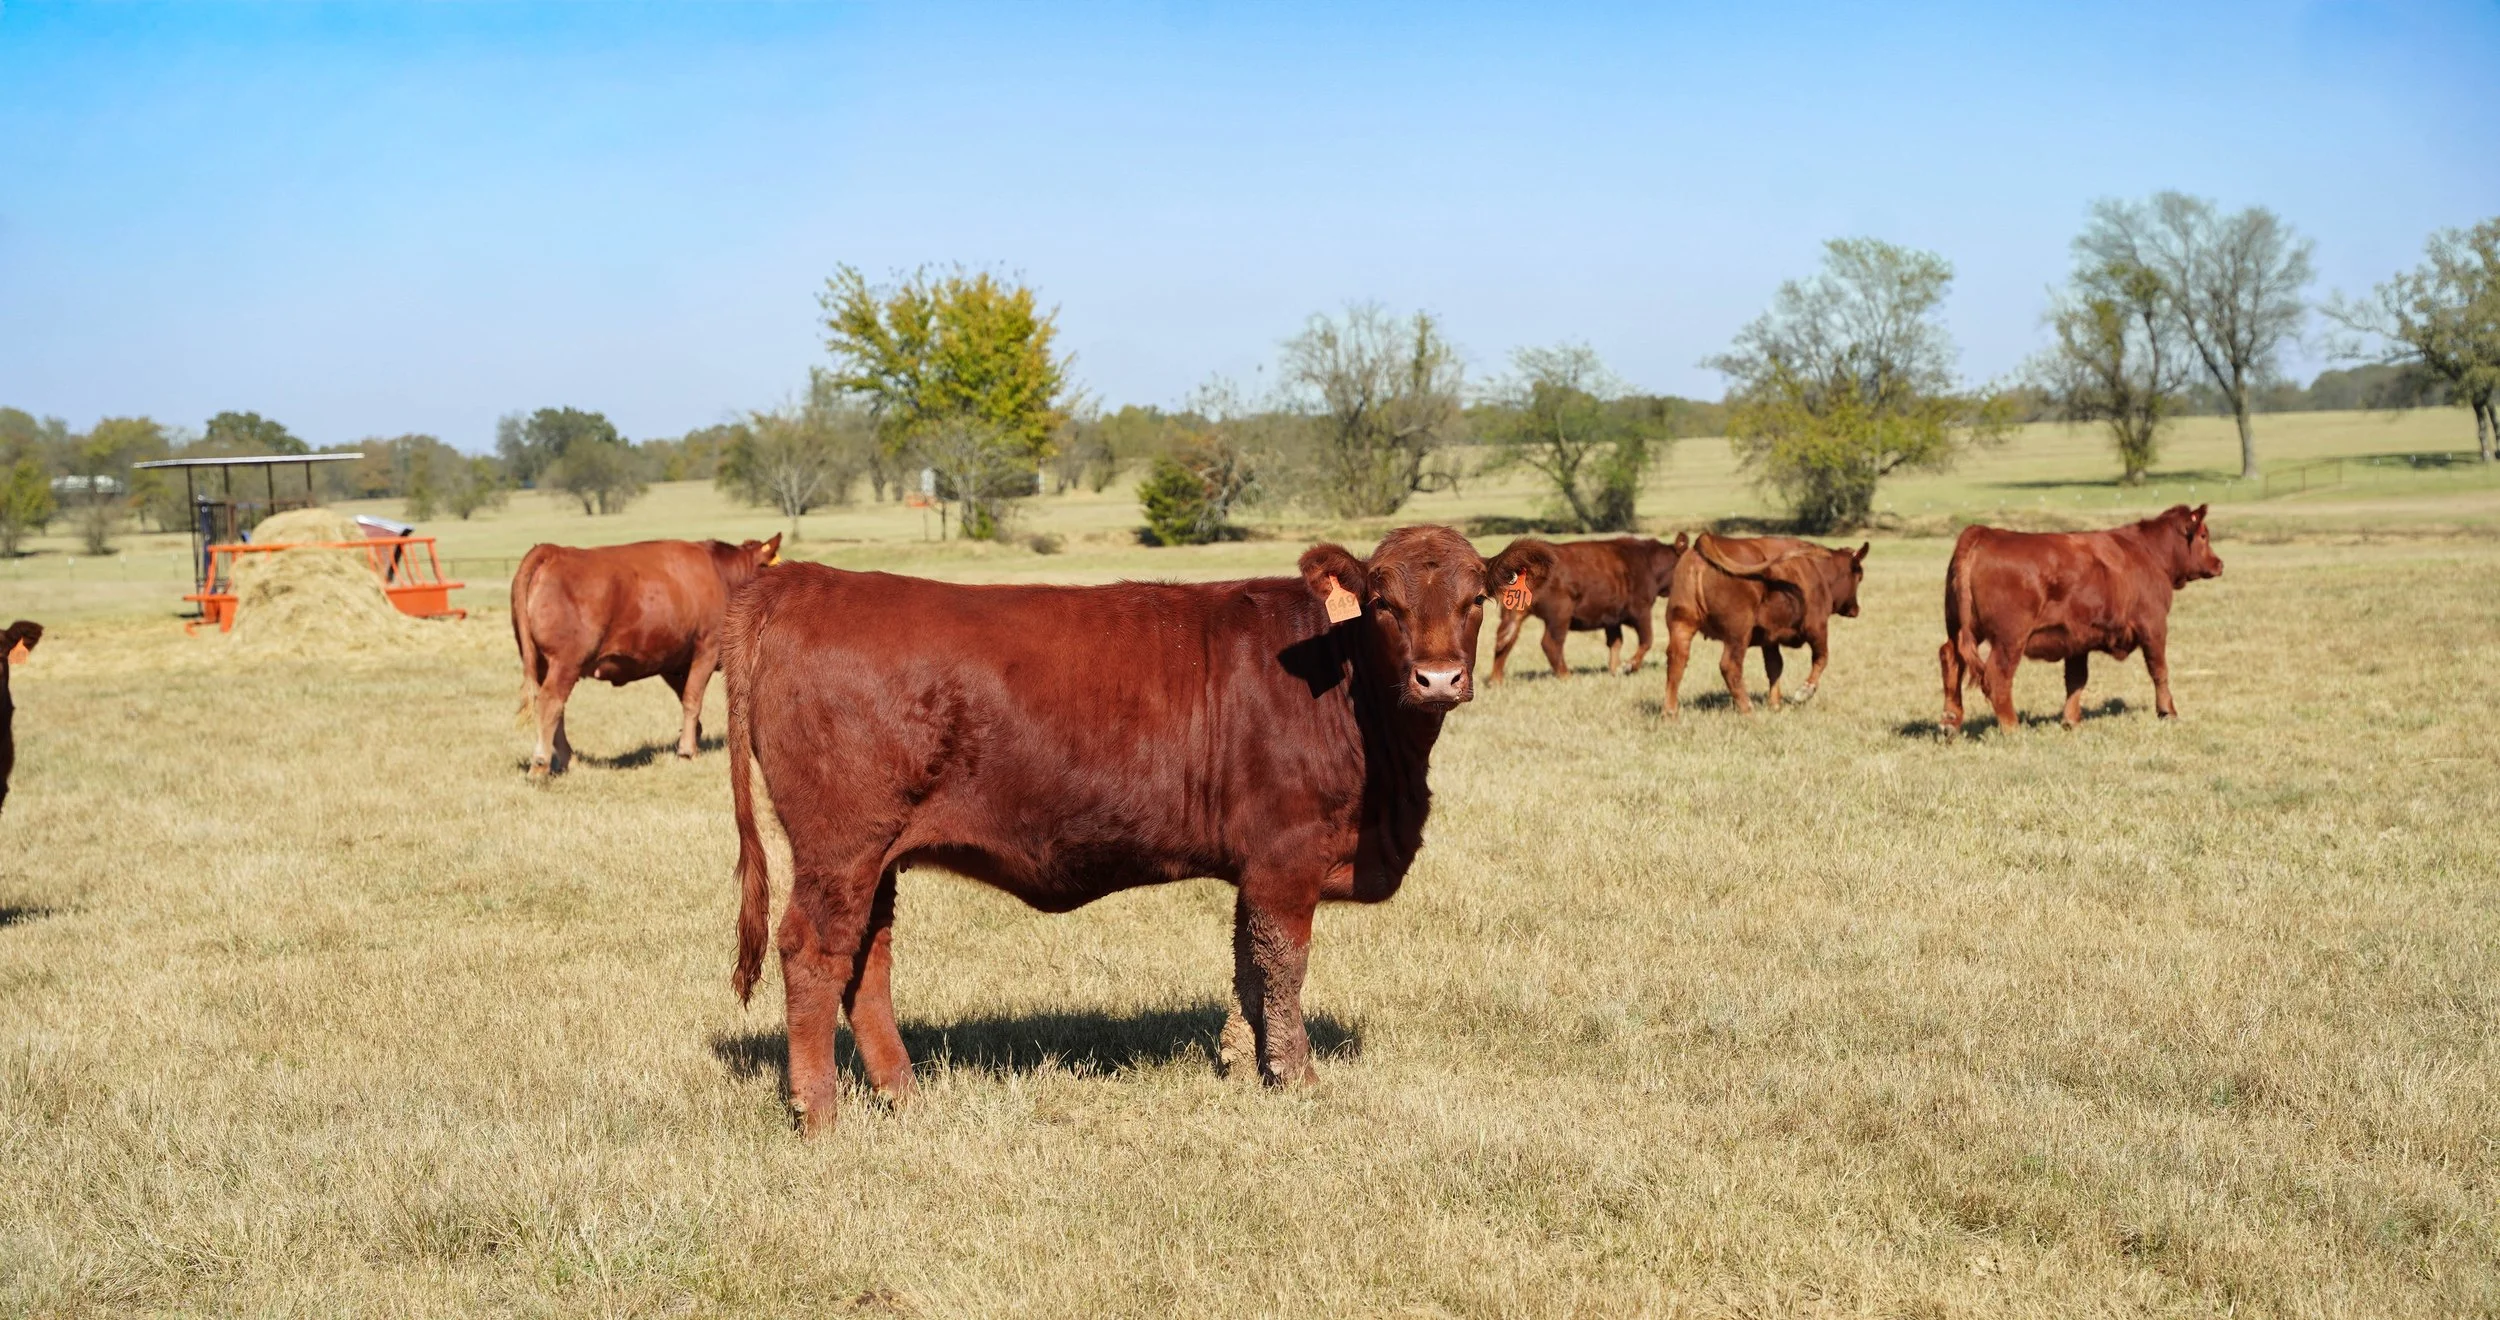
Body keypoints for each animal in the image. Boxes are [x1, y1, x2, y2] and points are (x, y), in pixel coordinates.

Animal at [511, 536, 779, 776]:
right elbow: (693, 700)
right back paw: (541, 764)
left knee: (557, 709)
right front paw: (687, 751)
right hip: (566, 662)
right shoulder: (708, 649)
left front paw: (692, 738)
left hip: (543, 663)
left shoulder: (674, 661)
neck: (722, 574)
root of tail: (553, 551)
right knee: (550, 703)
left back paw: (571, 761)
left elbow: (685, 698)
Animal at [723, 525, 1554, 1134]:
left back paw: (905, 1094)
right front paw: (1296, 1075)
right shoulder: (1287, 857)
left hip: (877, 856)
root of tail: (804, 582)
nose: (1438, 678)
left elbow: (1246, 964)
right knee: (814, 954)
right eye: (1383, 603)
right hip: (841, 846)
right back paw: (819, 1113)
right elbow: (1284, 966)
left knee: (868, 961)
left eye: (1477, 597)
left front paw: (1237, 1060)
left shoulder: (1254, 867)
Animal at [1486, 534, 1688, 682]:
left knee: (1505, 640)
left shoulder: (1612, 618)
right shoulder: (1641, 610)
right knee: (1551, 643)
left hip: (1514, 613)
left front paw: (1614, 670)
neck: (1648, 563)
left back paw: (1496, 680)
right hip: (1560, 614)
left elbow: (1615, 643)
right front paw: (1629, 666)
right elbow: (1647, 640)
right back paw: (1566, 676)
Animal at [1663, 534, 1868, 716]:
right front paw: (1805, 691)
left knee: (1677, 661)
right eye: (1859, 577)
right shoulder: (1817, 626)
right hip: (1738, 632)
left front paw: (1775, 704)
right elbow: (1821, 658)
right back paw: (1747, 709)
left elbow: (1775, 666)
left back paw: (1670, 713)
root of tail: (1707, 541)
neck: (1818, 570)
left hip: (1681, 623)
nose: (1856, 609)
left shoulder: (1769, 638)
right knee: (1729, 666)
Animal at [1940, 504, 2222, 732]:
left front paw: (2071, 721)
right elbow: (2159, 670)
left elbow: (2076, 679)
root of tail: (1983, 533)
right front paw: (2168, 712)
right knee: (1997, 676)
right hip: (2009, 639)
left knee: (1951, 659)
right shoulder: (2153, 626)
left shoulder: (2076, 640)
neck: (2148, 552)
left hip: (1961, 630)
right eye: (2204, 535)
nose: (2219, 564)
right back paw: (2012, 728)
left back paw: (1950, 722)